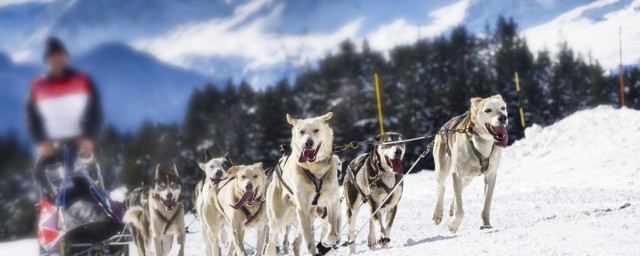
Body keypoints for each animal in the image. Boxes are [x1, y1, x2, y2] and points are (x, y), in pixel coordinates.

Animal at [264, 113, 340, 255]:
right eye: (301, 132)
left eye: (316, 130)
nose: (308, 143)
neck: (314, 169)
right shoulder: (302, 207)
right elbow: (309, 241)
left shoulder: (332, 201)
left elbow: (332, 231)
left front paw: (326, 243)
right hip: (278, 217)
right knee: (271, 242)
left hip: (310, 213)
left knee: (295, 244)